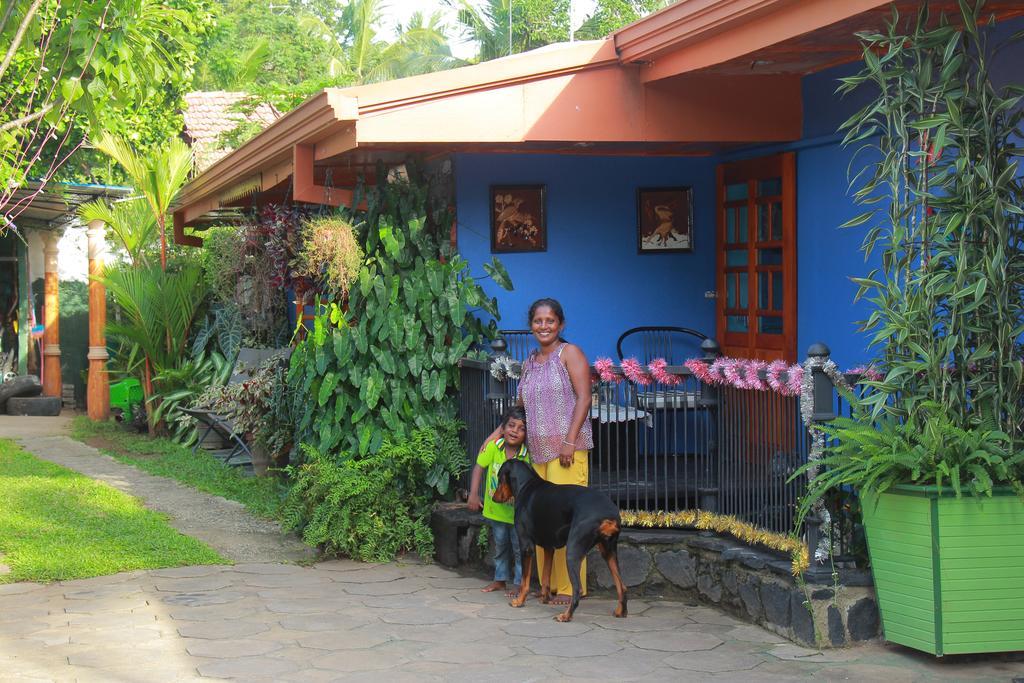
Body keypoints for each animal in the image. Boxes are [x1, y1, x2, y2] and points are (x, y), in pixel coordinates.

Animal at [493, 458, 626, 618]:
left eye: (499, 477)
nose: (493, 498)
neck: (526, 485)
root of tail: (610, 515)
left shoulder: (526, 546)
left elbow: (524, 580)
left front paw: (519, 601)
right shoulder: (548, 547)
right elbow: (545, 577)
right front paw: (545, 598)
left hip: (573, 551)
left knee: (577, 589)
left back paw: (565, 616)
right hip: (608, 551)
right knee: (622, 586)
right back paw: (620, 612)